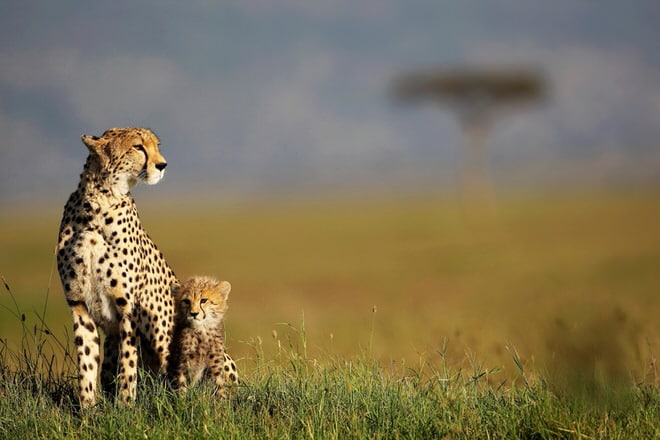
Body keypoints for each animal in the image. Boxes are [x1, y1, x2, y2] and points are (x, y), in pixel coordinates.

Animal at [56, 125, 178, 408]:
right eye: (138, 147)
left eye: (156, 145)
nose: (163, 165)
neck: (97, 207)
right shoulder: (78, 305)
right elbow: (87, 361)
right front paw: (88, 409)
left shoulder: (128, 307)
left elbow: (128, 361)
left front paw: (125, 406)